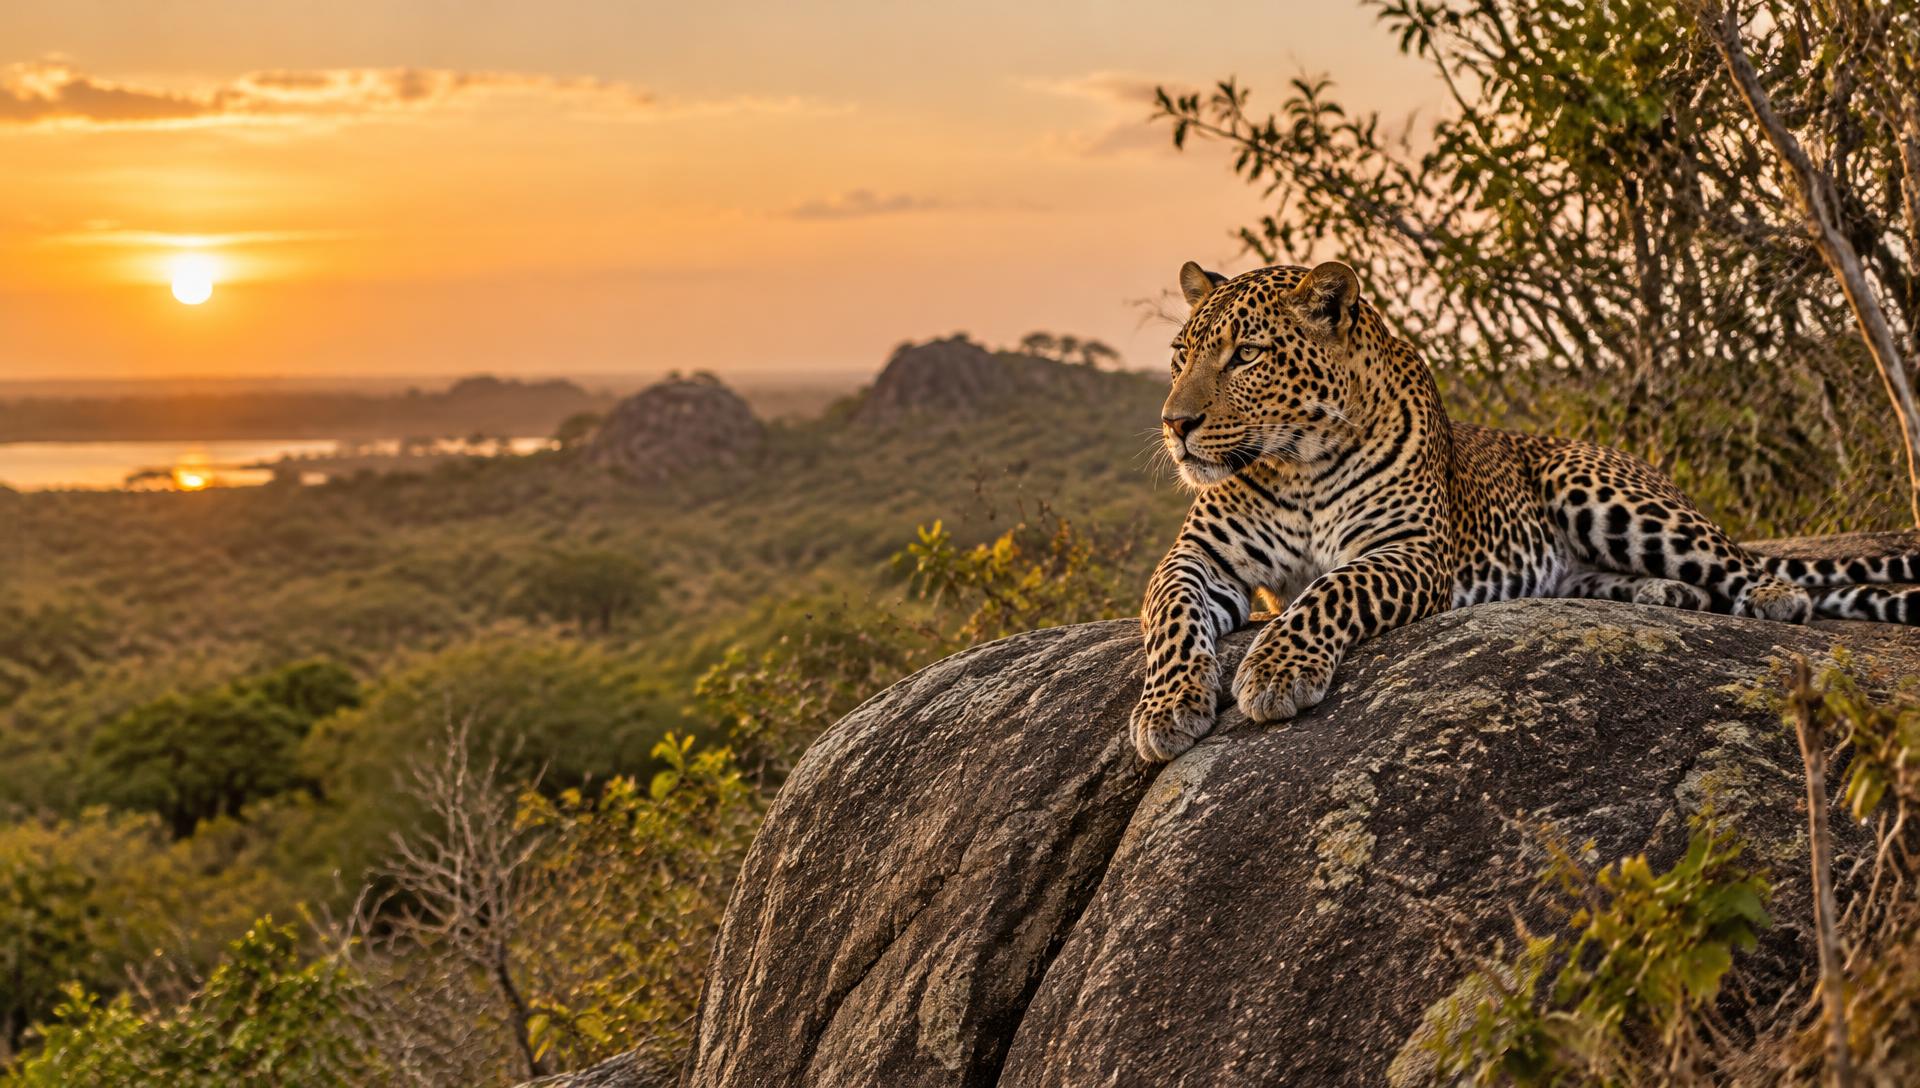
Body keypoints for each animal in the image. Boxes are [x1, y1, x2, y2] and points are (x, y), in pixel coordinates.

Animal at [1130, 259, 1920, 763]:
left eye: (1246, 355)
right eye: (1180, 355)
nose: (1174, 423)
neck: (1296, 463)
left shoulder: (1410, 551)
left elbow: (1331, 590)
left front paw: (1276, 667)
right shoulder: (1199, 557)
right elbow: (1170, 614)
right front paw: (1167, 707)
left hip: (1600, 489)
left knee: (1742, 564)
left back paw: (1770, 594)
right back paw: (1662, 595)